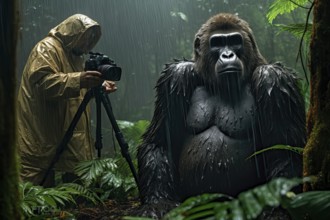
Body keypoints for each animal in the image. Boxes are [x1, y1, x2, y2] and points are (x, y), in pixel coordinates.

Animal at [135, 12, 306, 217]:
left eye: (234, 41)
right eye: (217, 43)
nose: (227, 55)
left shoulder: (274, 79)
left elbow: (284, 149)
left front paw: (276, 209)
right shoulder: (175, 76)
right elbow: (159, 142)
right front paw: (158, 203)